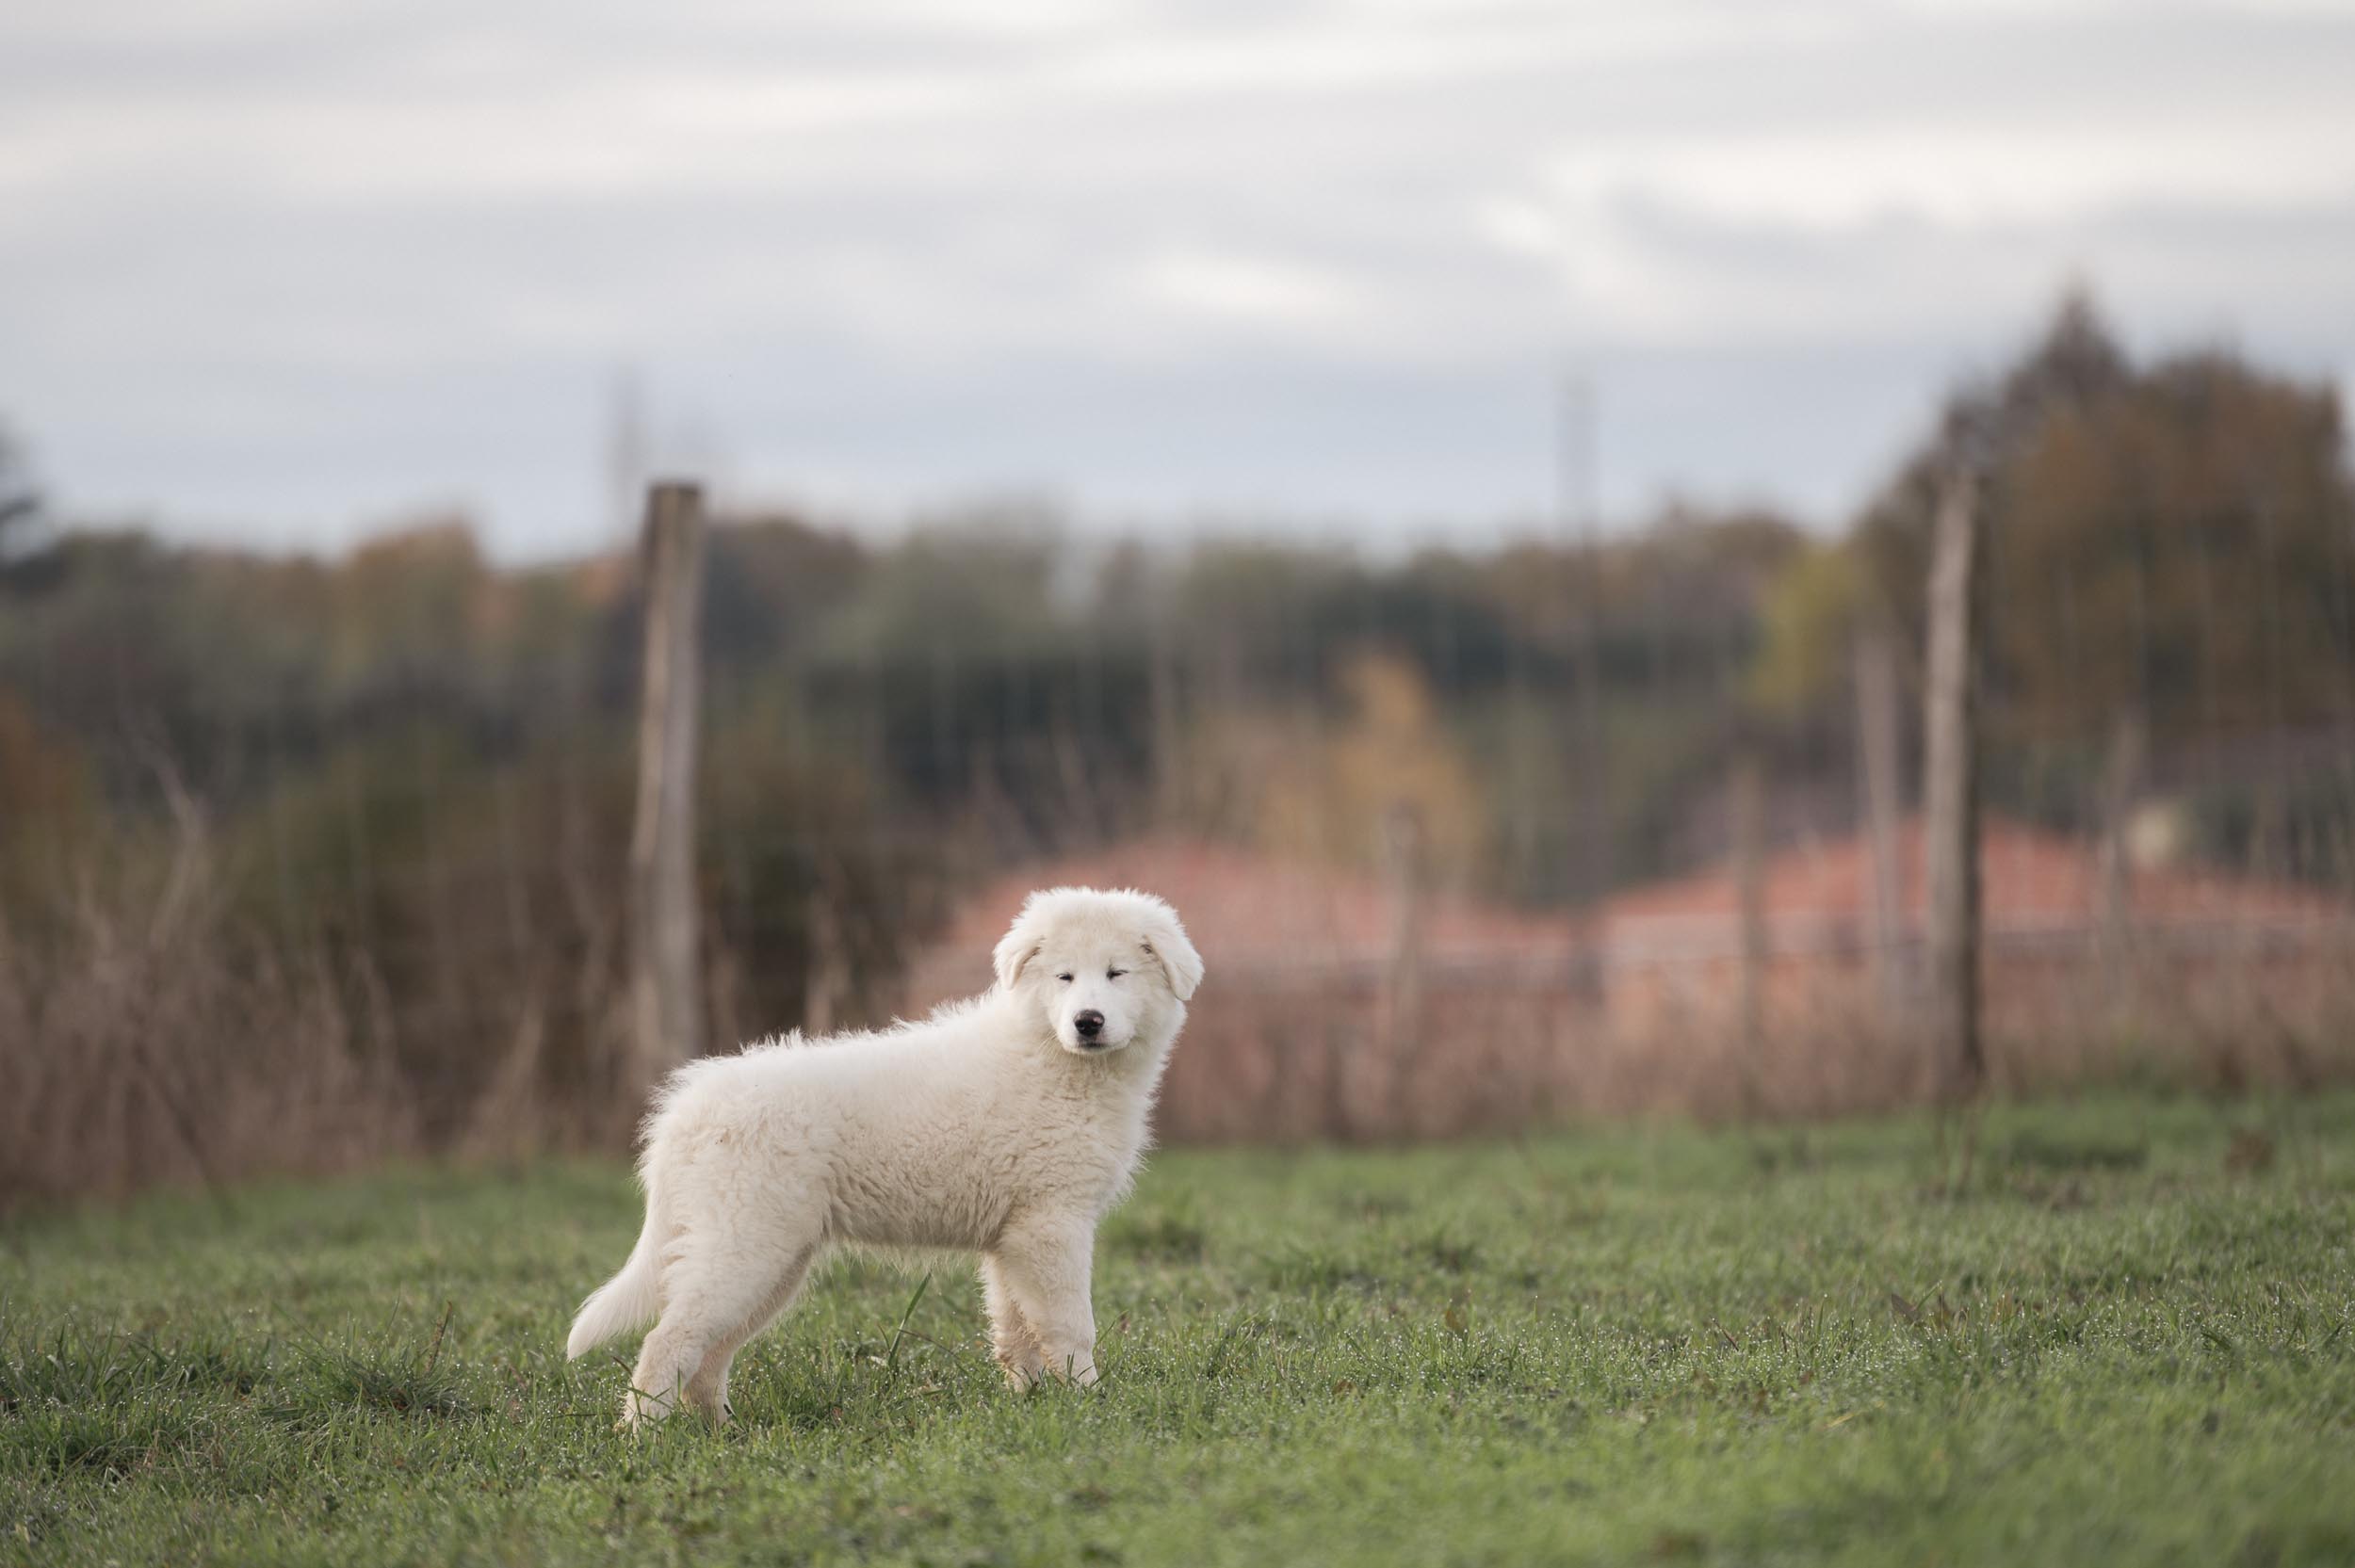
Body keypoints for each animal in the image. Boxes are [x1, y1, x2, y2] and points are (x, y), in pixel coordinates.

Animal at [565, 885, 1196, 1422]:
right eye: (1064, 977)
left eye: (1116, 974)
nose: (1088, 1022)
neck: (1052, 1056)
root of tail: (684, 1111)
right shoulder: (1053, 1223)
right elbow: (1070, 1326)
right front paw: (1088, 1404)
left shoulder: (1014, 1237)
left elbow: (1017, 1330)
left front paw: (1032, 1405)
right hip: (743, 1245)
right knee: (667, 1341)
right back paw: (644, 1439)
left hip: (773, 1259)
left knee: (710, 1354)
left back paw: (722, 1432)